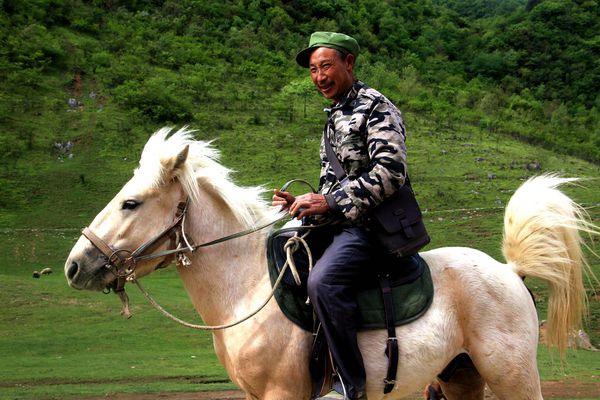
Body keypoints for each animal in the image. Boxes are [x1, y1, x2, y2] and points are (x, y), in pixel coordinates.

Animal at [63, 127, 596, 400]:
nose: (75, 265)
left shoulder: (283, 395)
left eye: (131, 203)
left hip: (513, 378)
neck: (246, 287)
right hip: (460, 379)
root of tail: (509, 274)